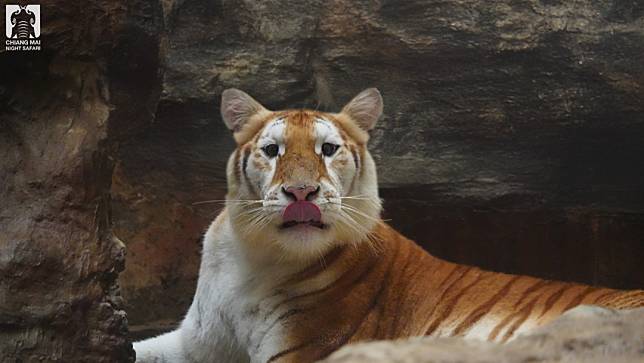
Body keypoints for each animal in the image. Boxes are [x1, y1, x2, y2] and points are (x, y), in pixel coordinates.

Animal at [133, 88, 640, 363]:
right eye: (273, 151)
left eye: (328, 149)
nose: (302, 193)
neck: (255, 256)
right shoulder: (196, 343)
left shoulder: (300, 350)